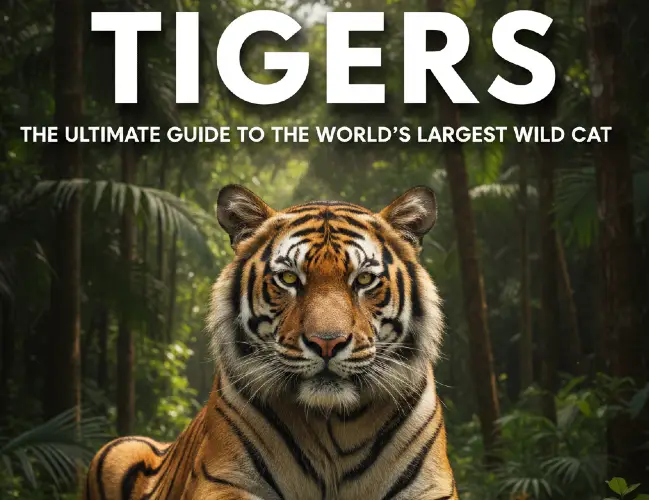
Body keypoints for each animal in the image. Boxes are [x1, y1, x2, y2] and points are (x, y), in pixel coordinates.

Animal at [84, 185, 459, 500]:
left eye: (364, 279)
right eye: (289, 278)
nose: (327, 343)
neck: (333, 426)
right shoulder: (223, 480)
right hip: (116, 449)